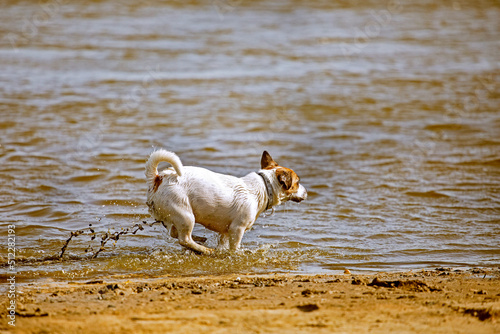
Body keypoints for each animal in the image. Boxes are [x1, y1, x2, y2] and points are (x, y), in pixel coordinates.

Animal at [146, 150, 306, 254]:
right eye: (297, 183)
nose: (306, 192)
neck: (263, 187)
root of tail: (159, 178)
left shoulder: (225, 232)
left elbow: (223, 244)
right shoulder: (237, 229)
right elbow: (234, 248)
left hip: (176, 216)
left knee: (175, 234)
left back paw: (200, 241)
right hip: (186, 215)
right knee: (184, 239)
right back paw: (206, 250)